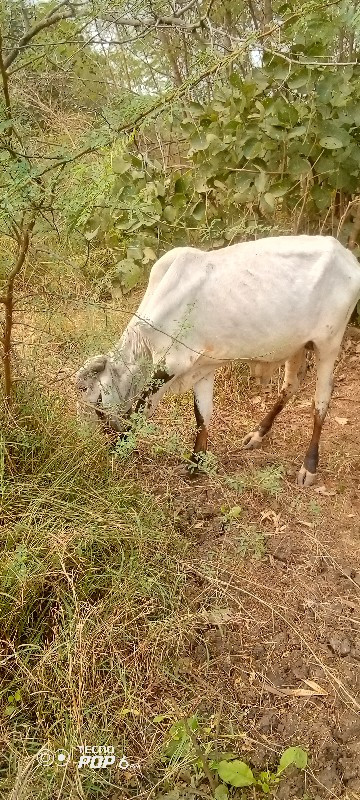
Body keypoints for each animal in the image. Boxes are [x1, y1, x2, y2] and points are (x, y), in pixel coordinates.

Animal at [75, 236, 360, 488]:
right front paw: (195, 464)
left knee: (321, 400)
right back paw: (258, 433)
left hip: (328, 343)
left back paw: (309, 466)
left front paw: (122, 449)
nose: (106, 437)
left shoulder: (168, 368)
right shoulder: (202, 367)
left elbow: (140, 410)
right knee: (290, 385)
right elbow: (202, 415)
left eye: (96, 400)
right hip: (297, 345)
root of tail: (345, 254)